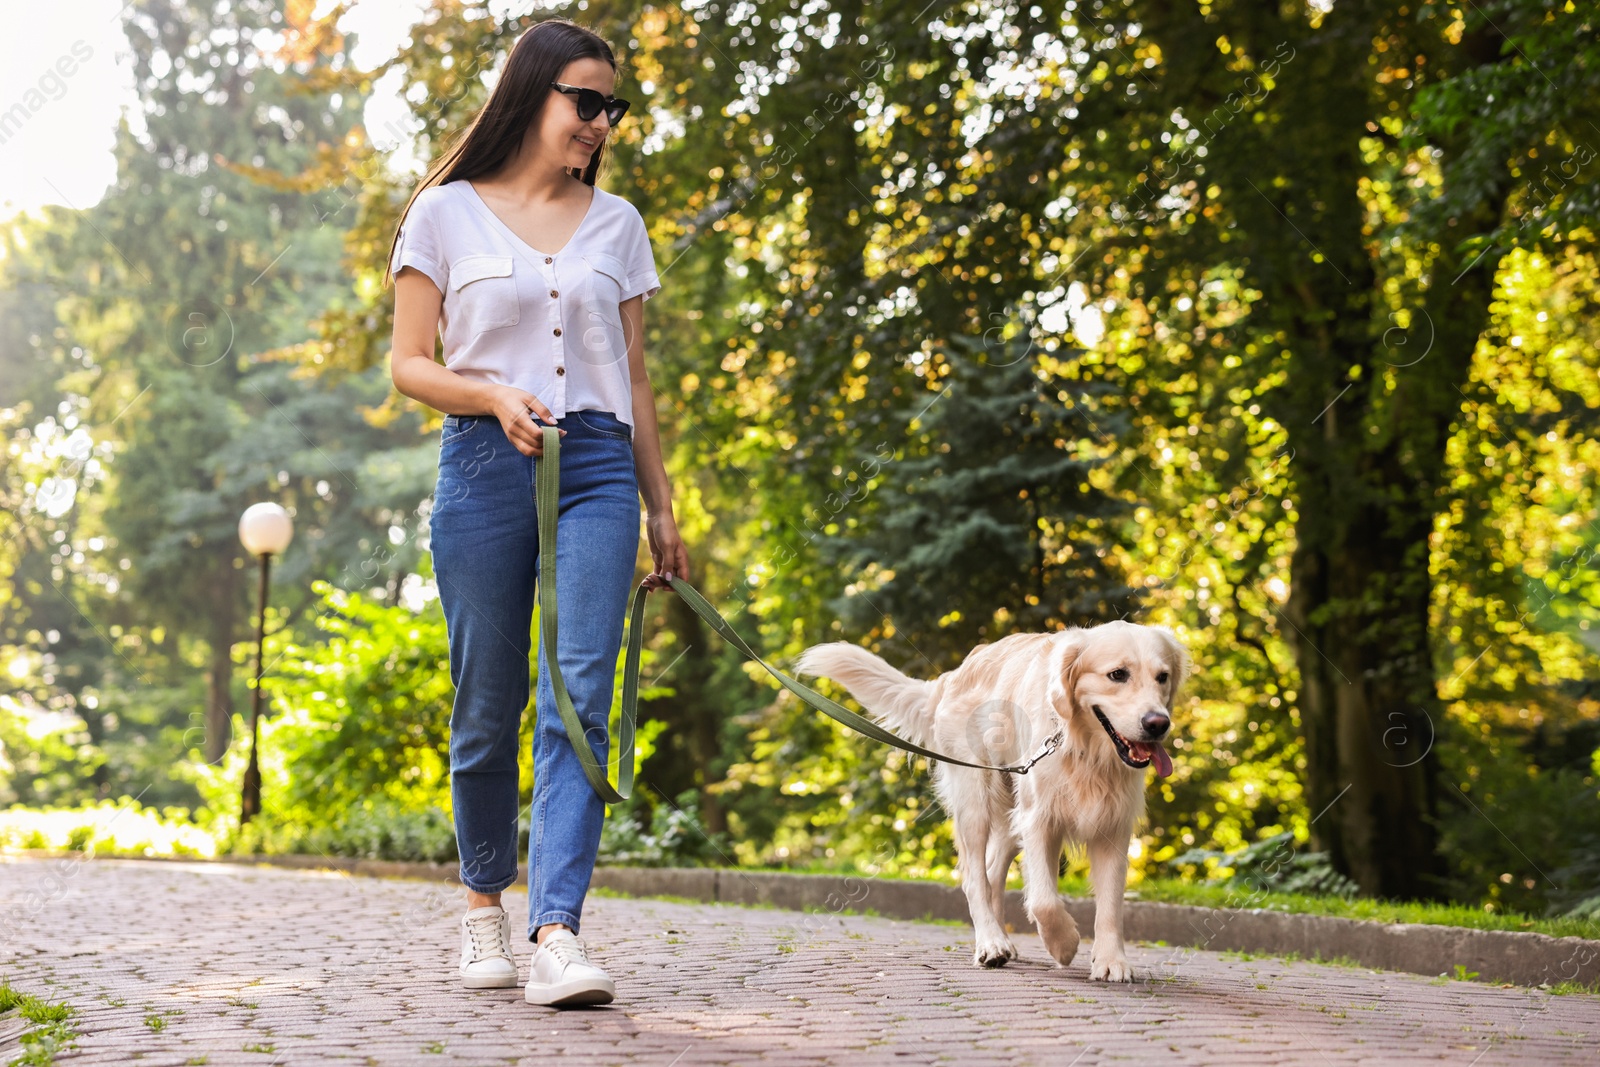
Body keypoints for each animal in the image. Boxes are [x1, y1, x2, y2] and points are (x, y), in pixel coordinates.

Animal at [796, 627, 1190, 985]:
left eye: (1162, 677)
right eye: (1117, 674)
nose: (1158, 723)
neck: (1083, 749)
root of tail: (955, 674)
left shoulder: (1113, 825)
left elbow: (1110, 902)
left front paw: (1111, 961)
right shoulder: (1038, 818)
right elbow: (1044, 900)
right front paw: (1063, 944)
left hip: (1007, 811)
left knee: (991, 872)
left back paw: (1001, 939)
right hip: (976, 799)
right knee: (974, 878)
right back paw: (990, 943)